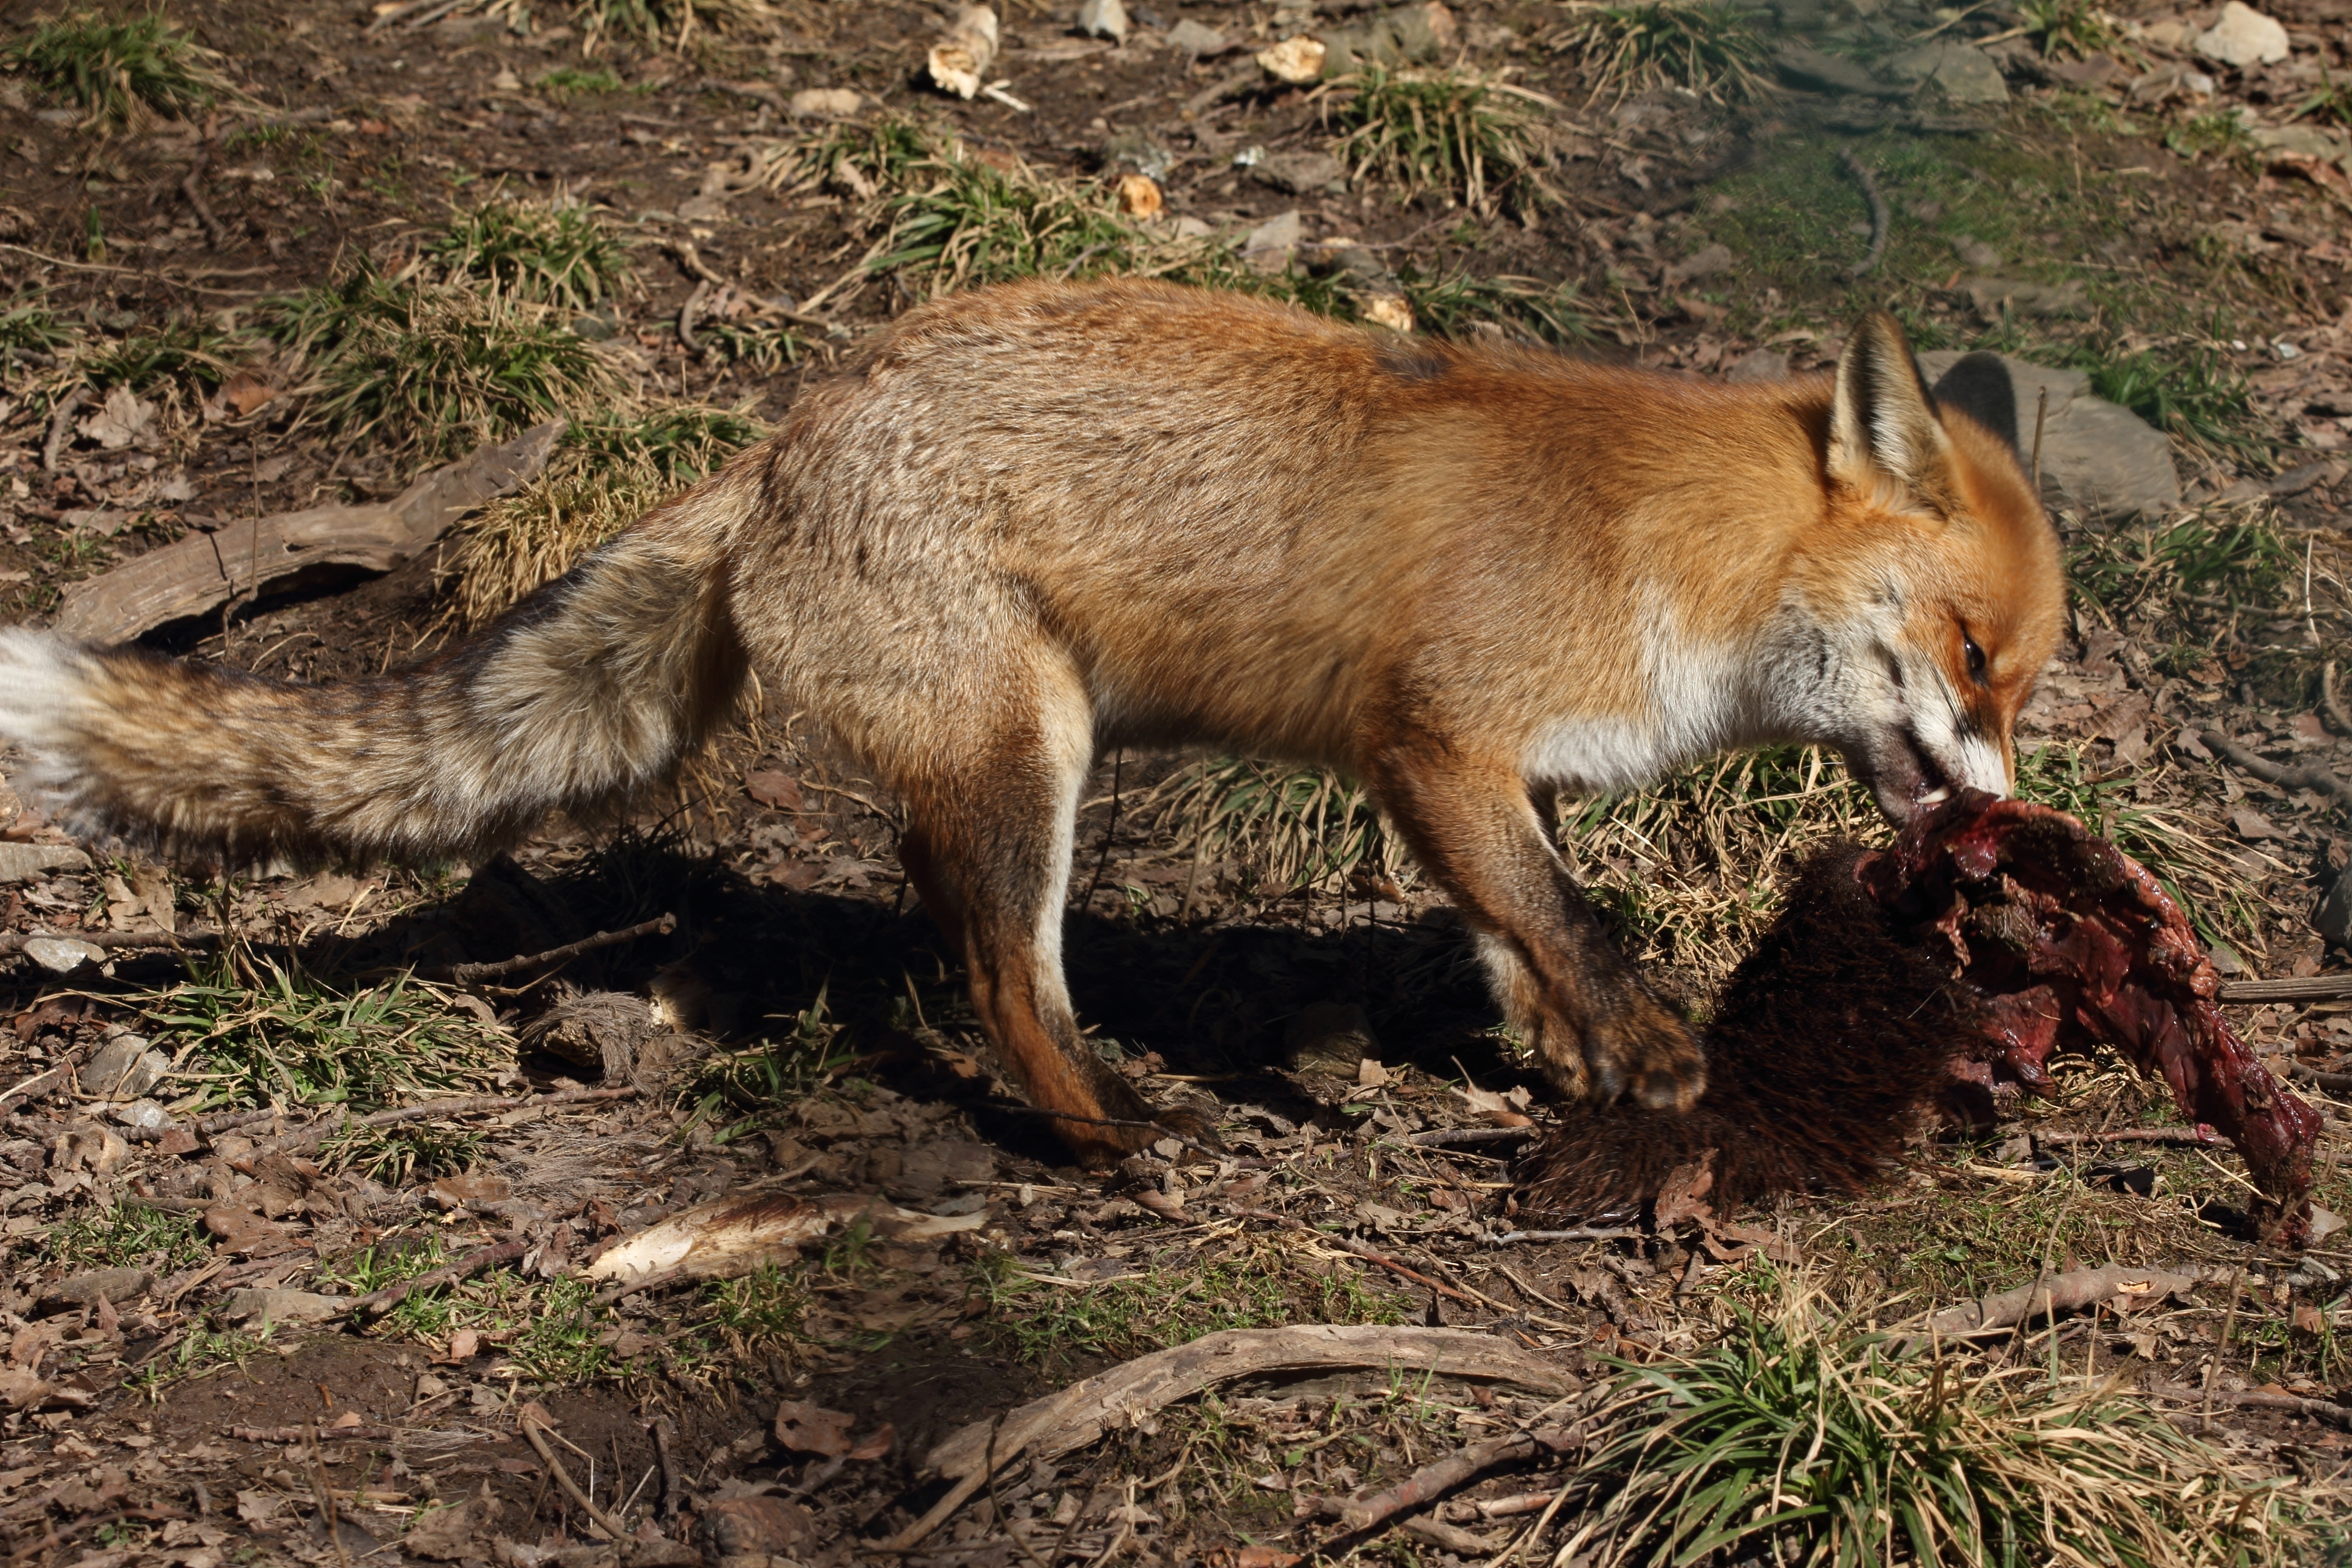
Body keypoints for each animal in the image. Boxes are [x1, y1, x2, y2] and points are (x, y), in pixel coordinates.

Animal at [0, 280, 2062, 1166]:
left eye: (2020, 683)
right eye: (1971, 658)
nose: (2004, 814)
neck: (1675, 558)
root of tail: (784, 437)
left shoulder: (1493, 784)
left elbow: (1519, 941)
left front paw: (1561, 1067)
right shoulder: (1434, 743)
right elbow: (1575, 926)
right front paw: (1648, 1062)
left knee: (972, 954)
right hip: (1027, 755)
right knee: (997, 976)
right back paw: (1105, 1133)